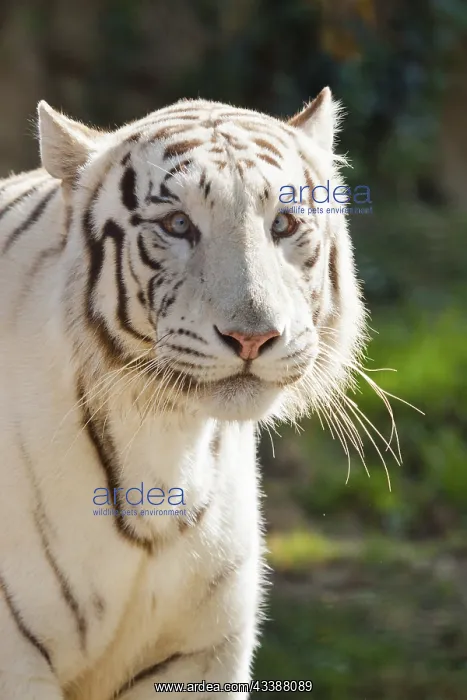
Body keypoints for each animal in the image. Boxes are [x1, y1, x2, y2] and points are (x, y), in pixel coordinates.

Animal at [0, 87, 367, 699]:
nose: (253, 336)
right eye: (176, 224)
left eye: (284, 223)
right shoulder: (18, 660)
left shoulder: (199, 656)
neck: (162, 436)